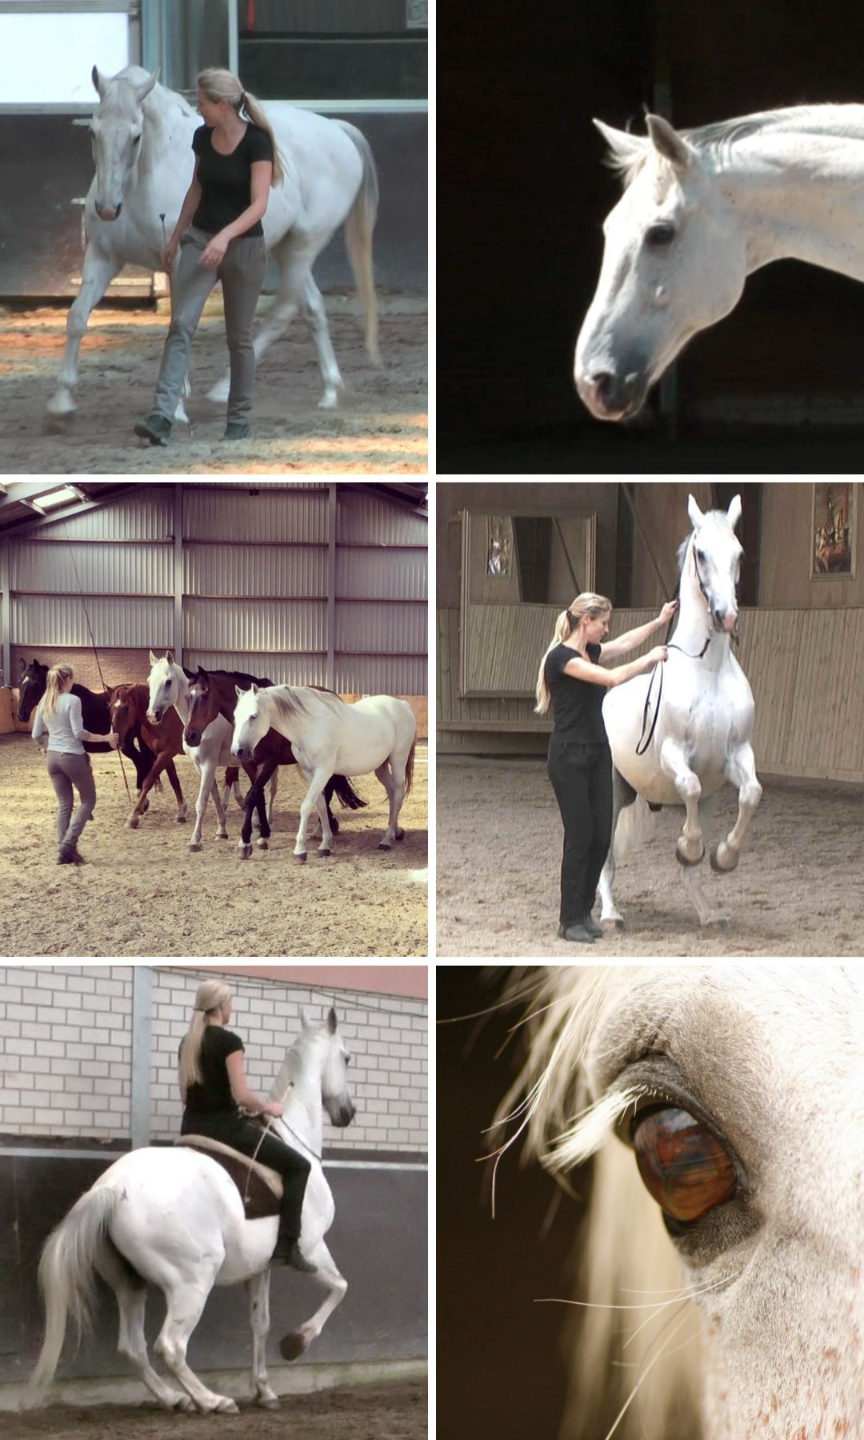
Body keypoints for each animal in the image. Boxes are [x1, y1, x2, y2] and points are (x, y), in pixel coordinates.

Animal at [27, 1007, 355, 1415]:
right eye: (347, 1058)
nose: (347, 1113)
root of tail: (112, 1188)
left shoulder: (260, 1268)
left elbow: (259, 1323)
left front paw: (264, 1390)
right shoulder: (311, 1248)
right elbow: (340, 1288)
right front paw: (295, 1343)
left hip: (130, 1284)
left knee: (132, 1347)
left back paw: (175, 1399)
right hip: (192, 1281)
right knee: (170, 1346)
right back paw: (212, 1400)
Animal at [45, 65, 379, 429]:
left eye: (136, 136)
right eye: (94, 132)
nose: (107, 209)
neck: (148, 175)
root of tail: (337, 130)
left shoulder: (179, 262)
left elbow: (179, 323)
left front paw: (177, 406)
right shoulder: (103, 258)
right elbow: (77, 317)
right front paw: (62, 402)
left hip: (305, 245)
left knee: (284, 311)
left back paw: (224, 389)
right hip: (285, 248)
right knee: (313, 308)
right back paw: (330, 391)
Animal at [185, 666, 366, 860]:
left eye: (204, 695)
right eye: (188, 696)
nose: (190, 736)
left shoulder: (268, 763)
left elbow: (253, 795)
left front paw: (246, 841)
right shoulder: (249, 764)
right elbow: (258, 796)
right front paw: (262, 834)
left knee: (328, 791)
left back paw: (320, 831)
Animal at [231, 684, 417, 861]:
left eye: (253, 716)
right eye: (235, 716)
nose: (237, 751)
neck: (310, 726)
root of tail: (403, 705)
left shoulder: (323, 772)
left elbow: (306, 806)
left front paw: (300, 850)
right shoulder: (309, 773)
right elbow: (320, 805)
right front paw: (325, 844)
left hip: (398, 760)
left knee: (398, 794)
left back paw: (386, 840)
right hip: (381, 767)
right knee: (392, 793)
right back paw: (395, 831)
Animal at [598, 493, 761, 928]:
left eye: (739, 553)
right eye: (701, 554)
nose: (726, 615)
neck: (707, 670)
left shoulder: (737, 755)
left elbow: (751, 794)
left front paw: (724, 857)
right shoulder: (674, 753)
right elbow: (688, 786)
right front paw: (688, 846)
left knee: (688, 870)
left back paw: (708, 915)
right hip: (613, 792)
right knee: (605, 859)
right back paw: (610, 914)